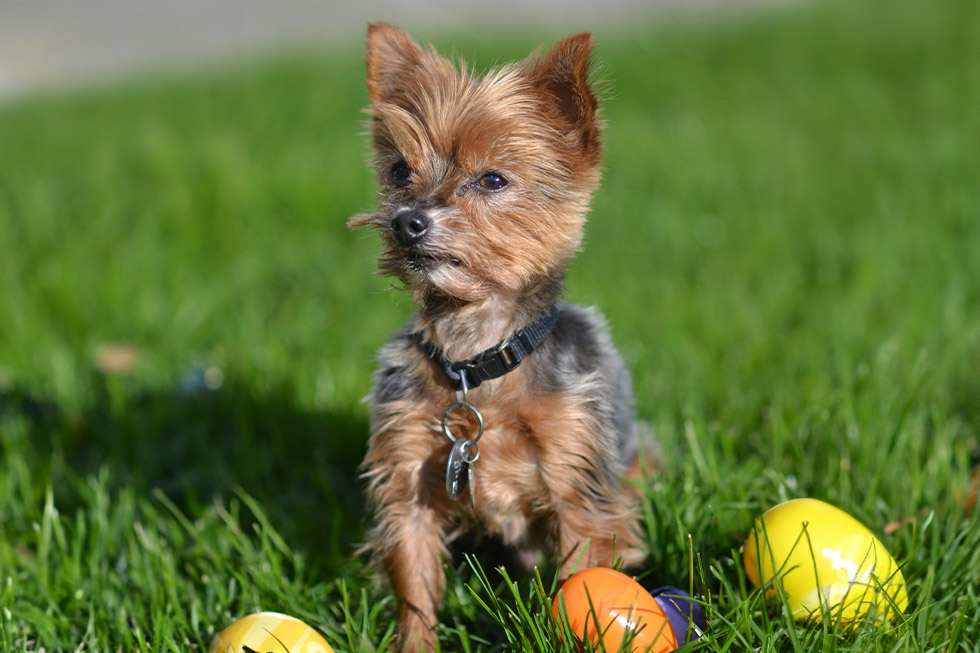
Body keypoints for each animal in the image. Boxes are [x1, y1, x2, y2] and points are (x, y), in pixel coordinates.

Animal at [348, 22, 648, 648]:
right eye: (399, 171)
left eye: (492, 179)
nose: (406, 221)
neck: (477, 359)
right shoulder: (407, 471)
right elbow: (413, 578)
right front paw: (416, 641)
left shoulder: (576, 477)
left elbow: (582, 571)